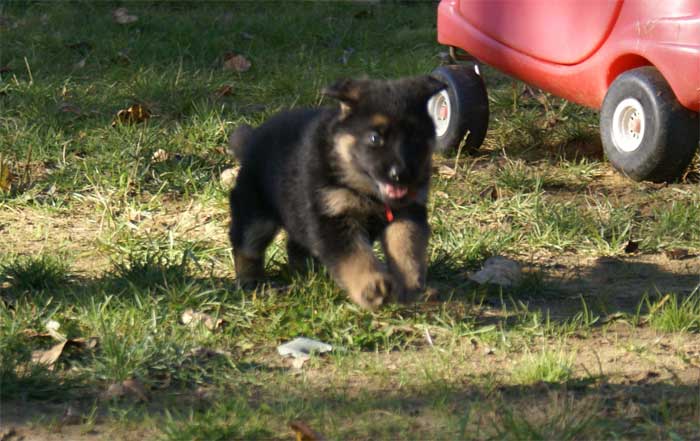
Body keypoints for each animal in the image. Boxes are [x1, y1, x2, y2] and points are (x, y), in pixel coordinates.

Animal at [231, 75, 448, 310]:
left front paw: (410, 284)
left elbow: (406, 247)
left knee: (296, 244)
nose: (400, 174)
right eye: (375, 138)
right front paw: (372, 286)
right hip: (255, 212)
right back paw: (251, 281)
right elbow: (355, 256)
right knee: (246, 245)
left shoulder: (407, 212)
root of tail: (251, 140)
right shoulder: (333, 216)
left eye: (415, 138)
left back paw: (307, 272)